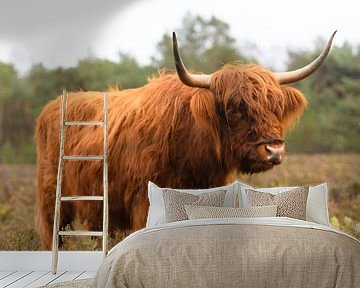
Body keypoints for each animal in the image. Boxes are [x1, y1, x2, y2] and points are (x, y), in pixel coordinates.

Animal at [35, 31, 336, 248]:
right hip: (52, 198)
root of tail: (54, 104)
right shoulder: (142, 200)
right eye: (233, 108)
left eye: (276, 107)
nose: (273, 150)